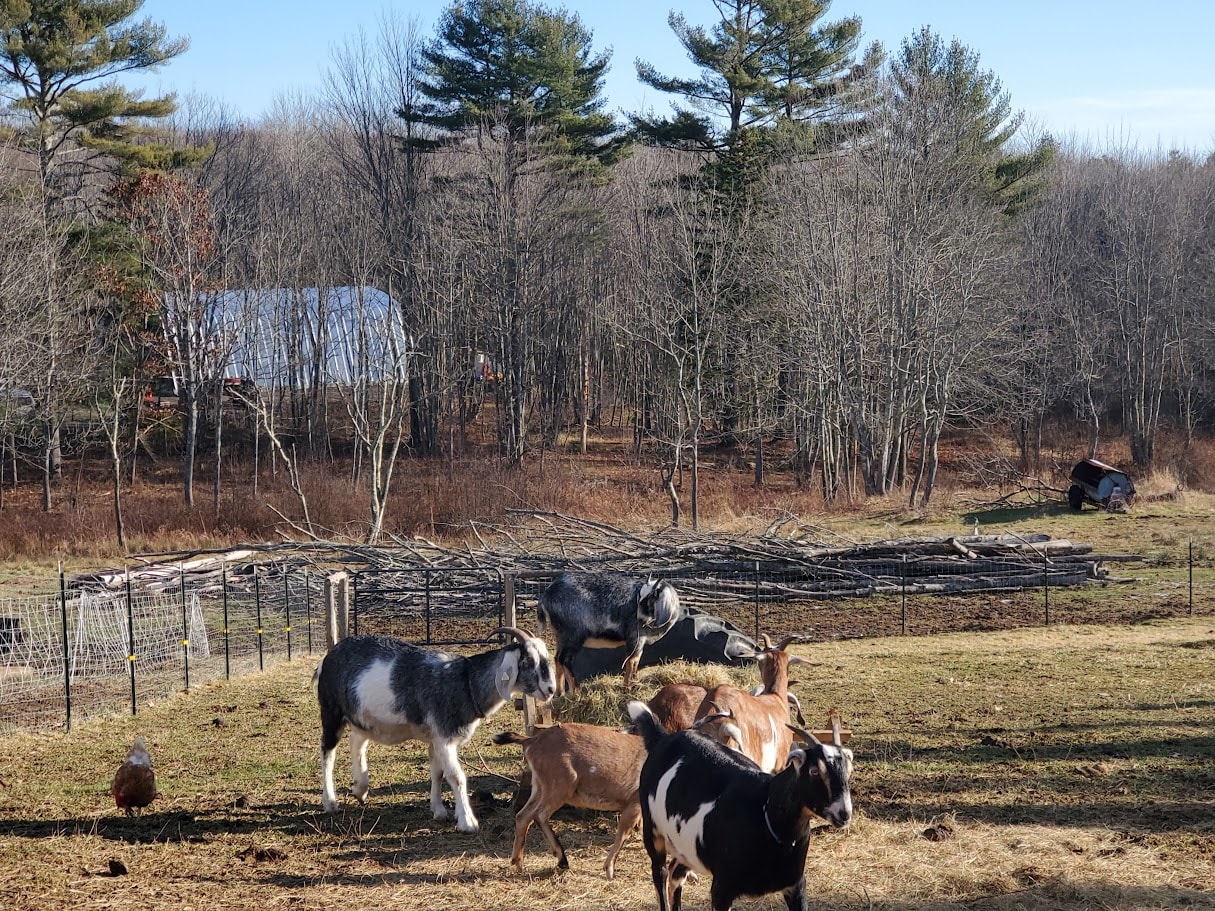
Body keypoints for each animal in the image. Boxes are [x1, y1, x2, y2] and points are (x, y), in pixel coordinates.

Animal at [313, 627, 556, 832]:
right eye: (529, 661)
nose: (551, 689)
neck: (465, 682)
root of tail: (329, 656)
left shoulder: (435, 739)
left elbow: (437, 772)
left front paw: (439, 810)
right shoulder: (444, 737)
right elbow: (456, 776)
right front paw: (467, 822)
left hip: (363, 718)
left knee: (357, 742)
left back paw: (360, 788)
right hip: (331, 711)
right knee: (327, 752)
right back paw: (330, 802)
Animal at [492, 723, 646, 878]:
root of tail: (530, 741)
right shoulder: (635, 802)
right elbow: (624, 832)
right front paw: (609, 870)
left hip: (540, 786)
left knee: (523, 815)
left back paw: (518, 863)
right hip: (560, 786)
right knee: (539, 815)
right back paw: (562, 860)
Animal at [537, 572, 682, 694]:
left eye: (650, 599)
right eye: (641, 598)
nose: (639, 618)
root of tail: (547, 594)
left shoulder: (641, 641)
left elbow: (637, 660)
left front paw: (636, 683)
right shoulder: (635, 637)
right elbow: (631, 661)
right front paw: (627, 688)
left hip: (560, 634)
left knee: (557, 658)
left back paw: (559, 693)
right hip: (573, 634)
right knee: (564, 659)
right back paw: (577, 691)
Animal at [628, 700, 853, 911]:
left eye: (848, 770)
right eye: (814, 771)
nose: (844, 813)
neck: (764, 811)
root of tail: (663, 739)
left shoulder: (796, 885)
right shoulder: (721, 889)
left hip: (685, 846)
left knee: (676, 874)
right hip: (653, 831)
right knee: (661, 874)